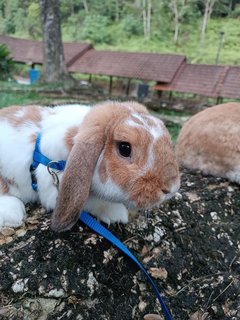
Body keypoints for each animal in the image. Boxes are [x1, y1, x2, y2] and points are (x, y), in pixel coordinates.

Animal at [0, 101, 180, 231]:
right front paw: (117, 213)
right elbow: (90, 201)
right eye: (124, 148)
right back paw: (13, 213)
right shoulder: (52, 188)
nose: (171, 188)